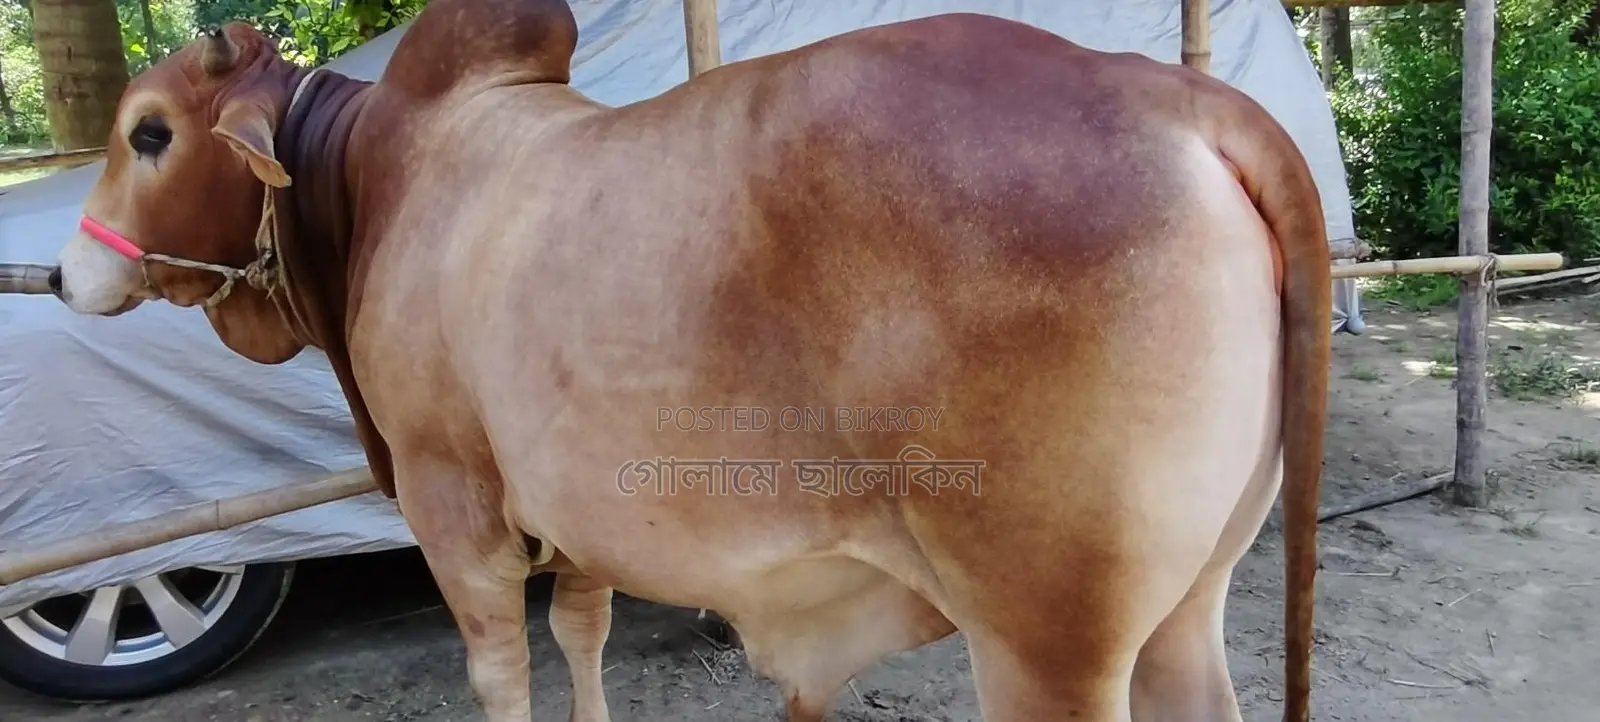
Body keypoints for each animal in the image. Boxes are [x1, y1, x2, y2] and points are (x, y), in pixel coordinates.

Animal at [45, 1, 1331, 720]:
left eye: (150, 132)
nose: (64, 274)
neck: (377, 179)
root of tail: (1176, 98)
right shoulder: (576, 528)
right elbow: (582, 642)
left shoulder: (452, 505)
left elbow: (501, 674)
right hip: (1186, 606)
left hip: (1047, 642)